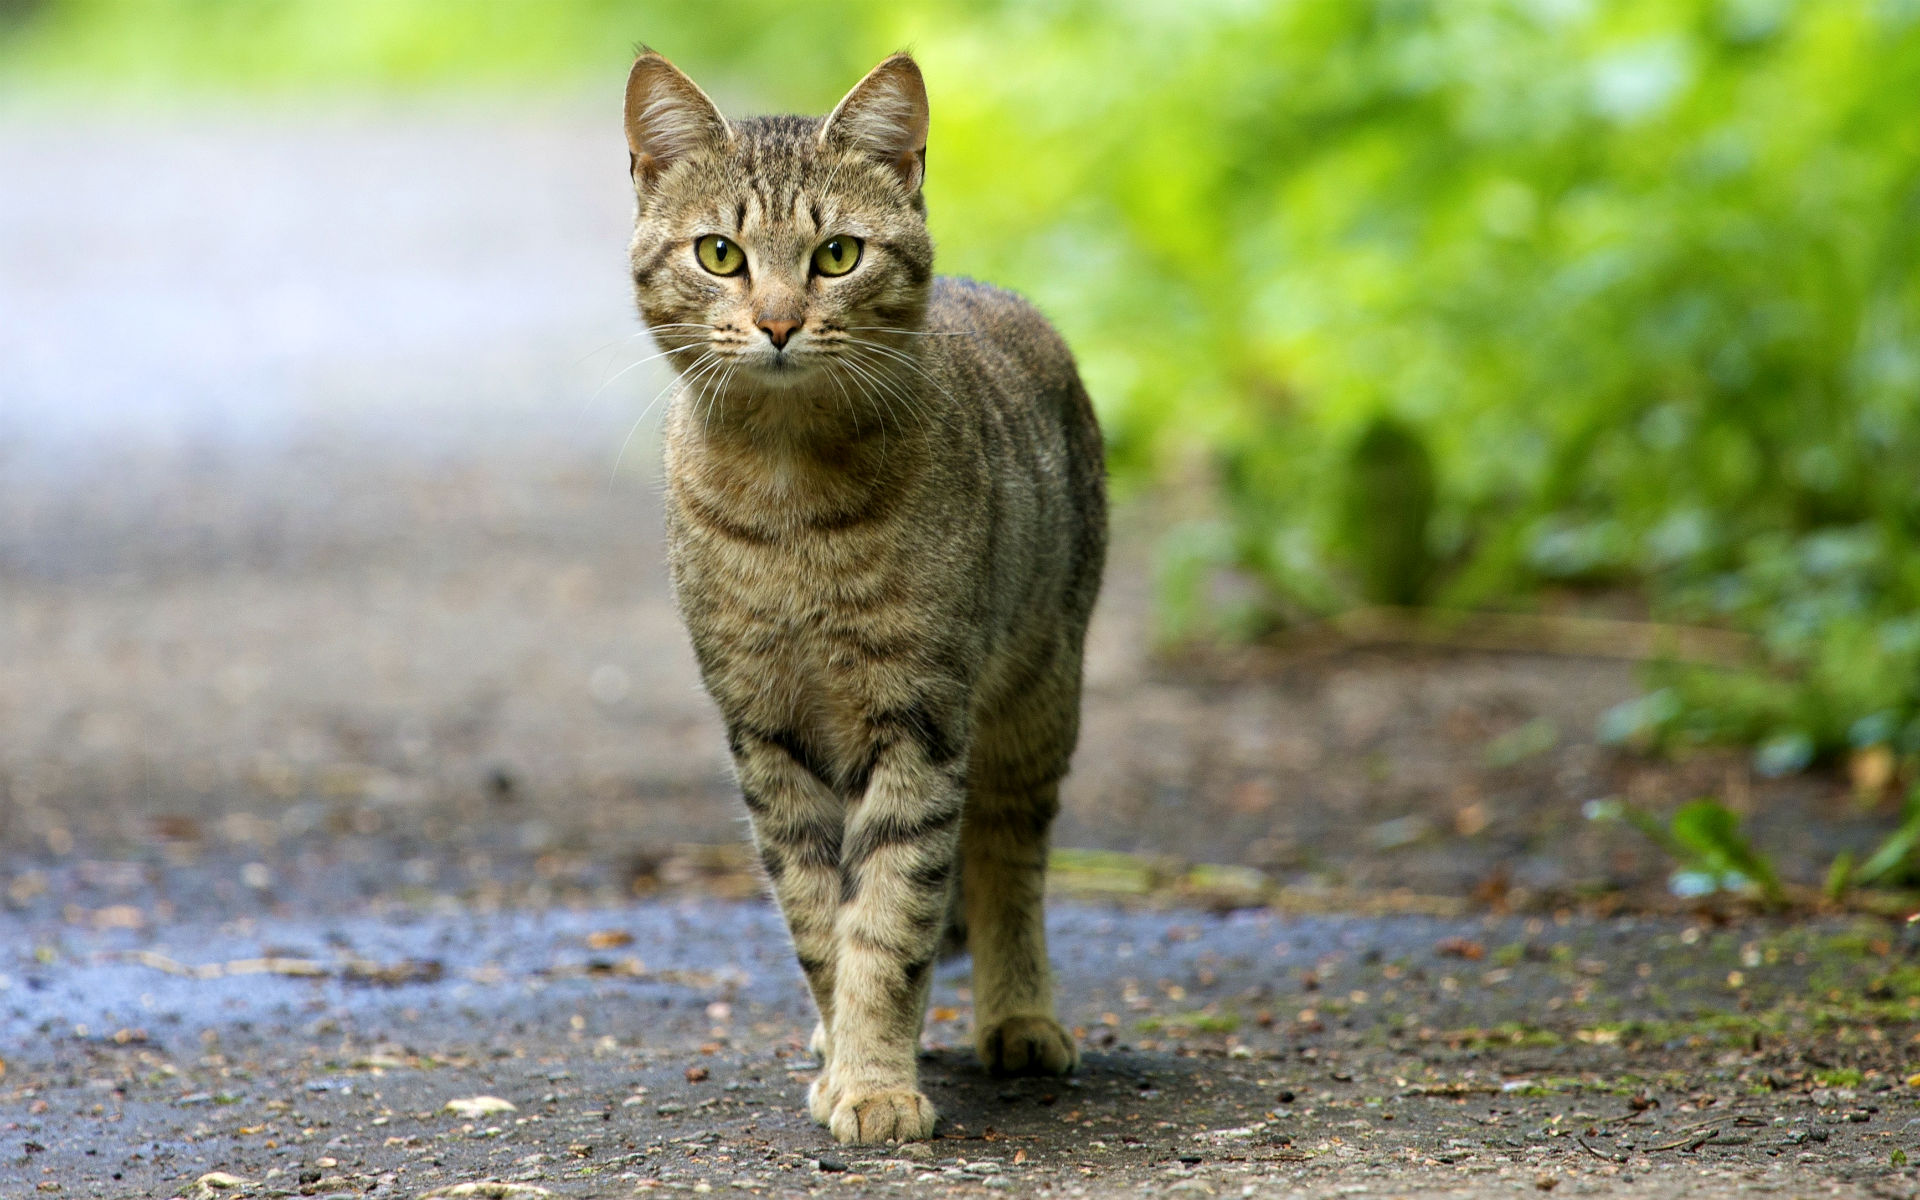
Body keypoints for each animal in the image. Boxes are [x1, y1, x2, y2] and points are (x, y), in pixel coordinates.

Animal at [625, 49, 1113, 1144]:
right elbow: (822, 916)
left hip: (1036, 702)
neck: (789, 498)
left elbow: (894, 914)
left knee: (1007, 862)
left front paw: (877, 1079)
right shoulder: (766, 731)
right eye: (720, 253)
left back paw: (1020, 1016)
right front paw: (851, 1054)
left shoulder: (920, 719)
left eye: (838, 255)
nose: (777, 322)